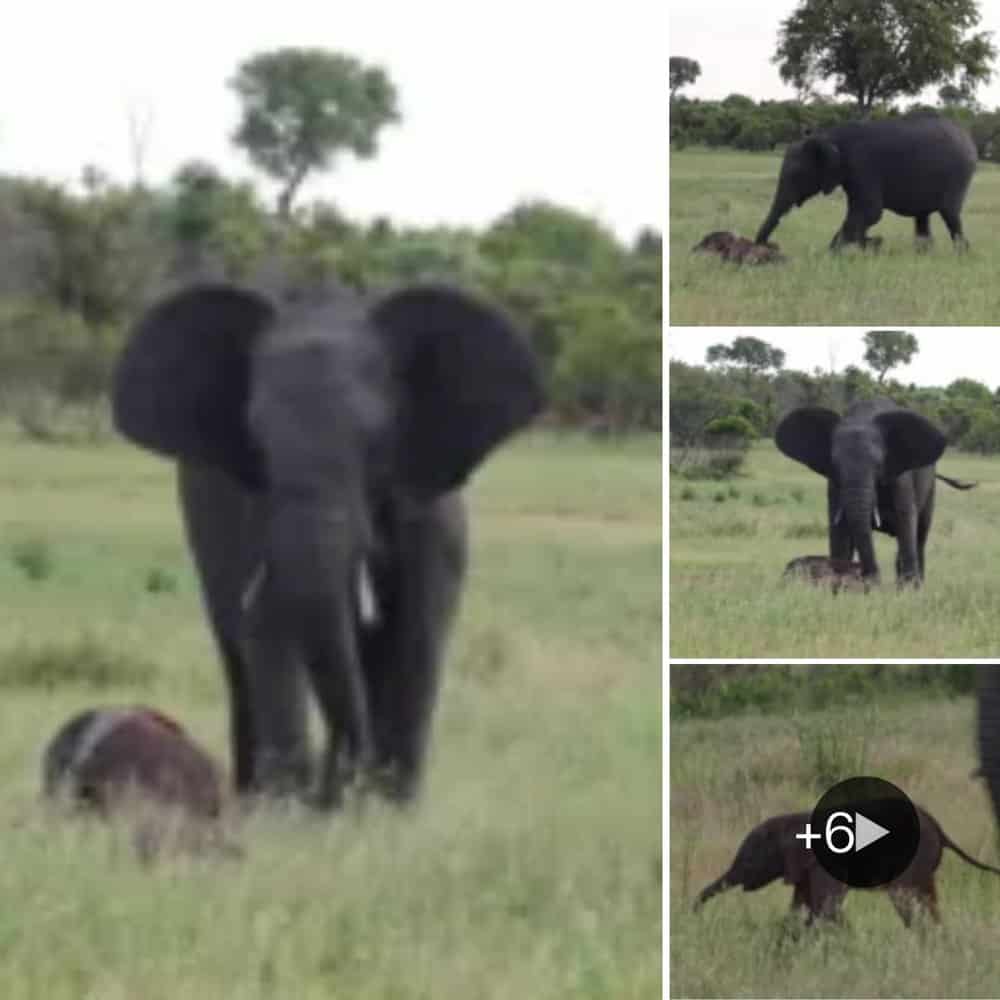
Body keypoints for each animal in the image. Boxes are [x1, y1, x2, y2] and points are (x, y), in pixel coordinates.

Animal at [111, 277, 545, 809]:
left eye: (377, 438)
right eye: (257, 439)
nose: (337, 785)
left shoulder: (428, 510)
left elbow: (417, 636)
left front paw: (388, 810)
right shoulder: (254, 509)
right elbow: (271, 629)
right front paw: (290, 808)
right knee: (238, 657)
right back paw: (255, 794)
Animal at [695, 804, 1000, 926]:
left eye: (748, 861)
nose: (693, 911)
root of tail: (940, 828)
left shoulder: (821, 866)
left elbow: (824, 909)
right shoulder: (806, 869)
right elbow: (801, 907)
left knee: (907, 900)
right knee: (927, 900)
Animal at [754, 117, 977, 251]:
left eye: (797, 175)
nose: (771, 245)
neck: (830, 137)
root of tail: (968, 138)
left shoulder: (862, 167)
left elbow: (870, 211)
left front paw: (832, 254)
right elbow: (863, 213)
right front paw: (868, 245)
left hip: (958, 174)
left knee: (950, 213)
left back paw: (961, 255)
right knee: (922, 218)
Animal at [775, 398, 976, 585]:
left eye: (879, 465)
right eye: (835, 464)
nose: (868, 576)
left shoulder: (900, 478)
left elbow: (906, 523)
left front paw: (908, 591)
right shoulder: (834, 484)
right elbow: (840, 530)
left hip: (930, 489)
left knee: (919, 536)